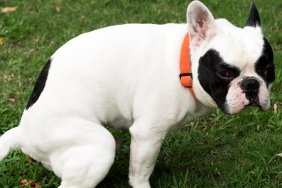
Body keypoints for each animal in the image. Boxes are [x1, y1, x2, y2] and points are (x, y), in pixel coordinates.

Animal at [0, 0, 274, 187]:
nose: (251, 84)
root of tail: (23, 131)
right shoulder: (147, 135)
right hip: (98, 146)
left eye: (268, 70)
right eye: (226, 73)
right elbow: (140, 172)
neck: (183, 61)